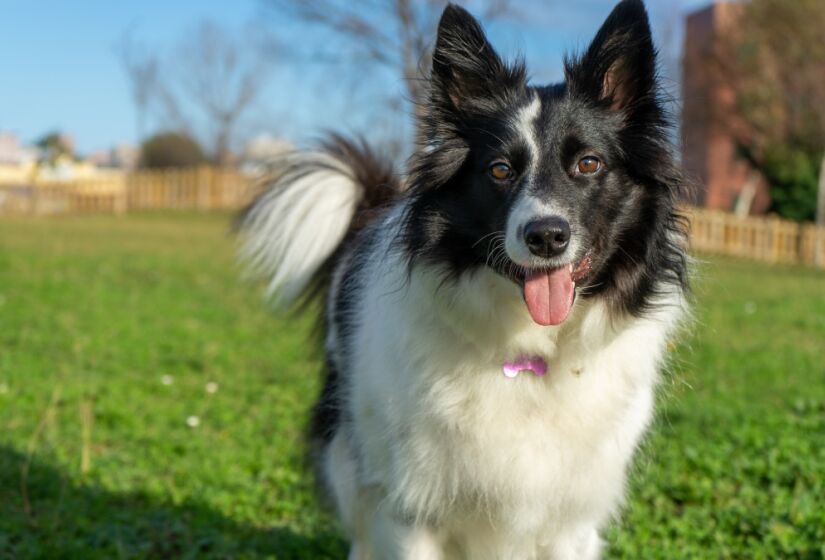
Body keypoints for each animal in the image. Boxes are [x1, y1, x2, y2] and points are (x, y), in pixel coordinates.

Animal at [238, 2, 688, 556]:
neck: (530, 353)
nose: (546, 237)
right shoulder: (412, 509)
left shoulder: (571, 520)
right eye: (499, 170)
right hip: (349, 452)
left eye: (588, 164)